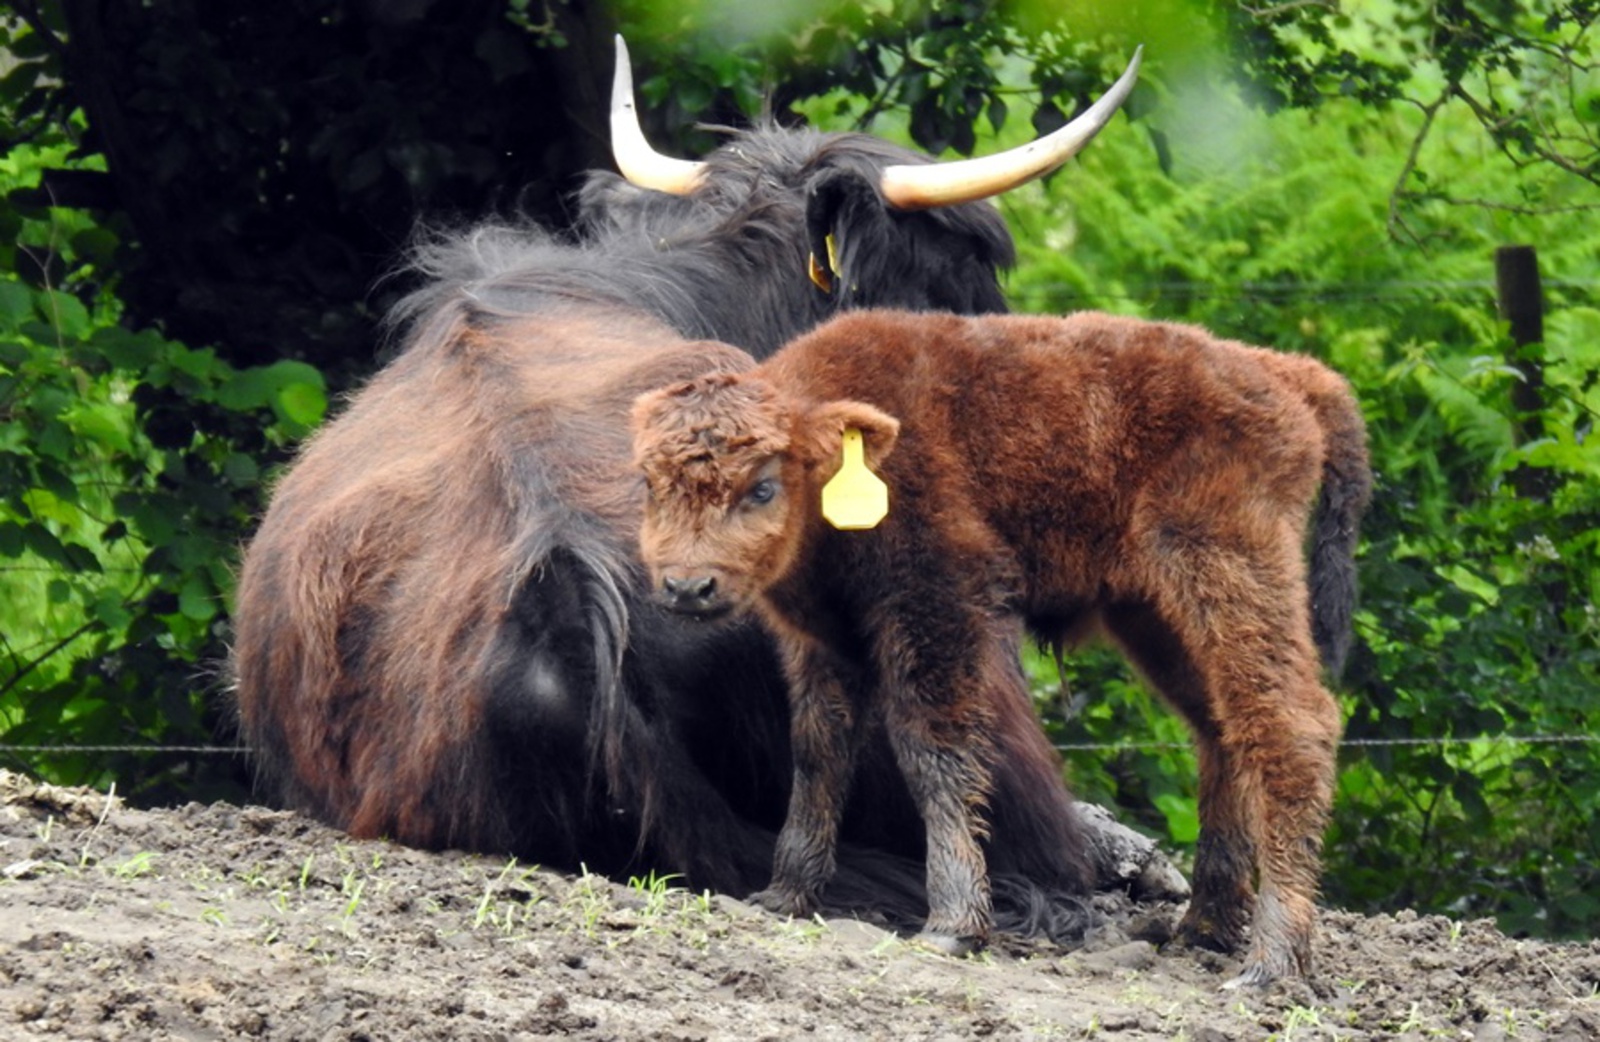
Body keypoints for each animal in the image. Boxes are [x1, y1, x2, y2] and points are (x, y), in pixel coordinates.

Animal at [630, 310, 1369, 985]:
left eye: (762, 485)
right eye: (649, 483)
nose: (688, 586)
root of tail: (1282, 373)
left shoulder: (938, 608)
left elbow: (936, 752)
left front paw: (953, 925)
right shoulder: (825, 641)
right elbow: (818, 752)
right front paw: (784, 894)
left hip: (1228, 567)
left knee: (1290, 724)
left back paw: (1270, 963)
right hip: (1156, 615)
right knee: (1221, 730)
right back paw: (1204, 929)